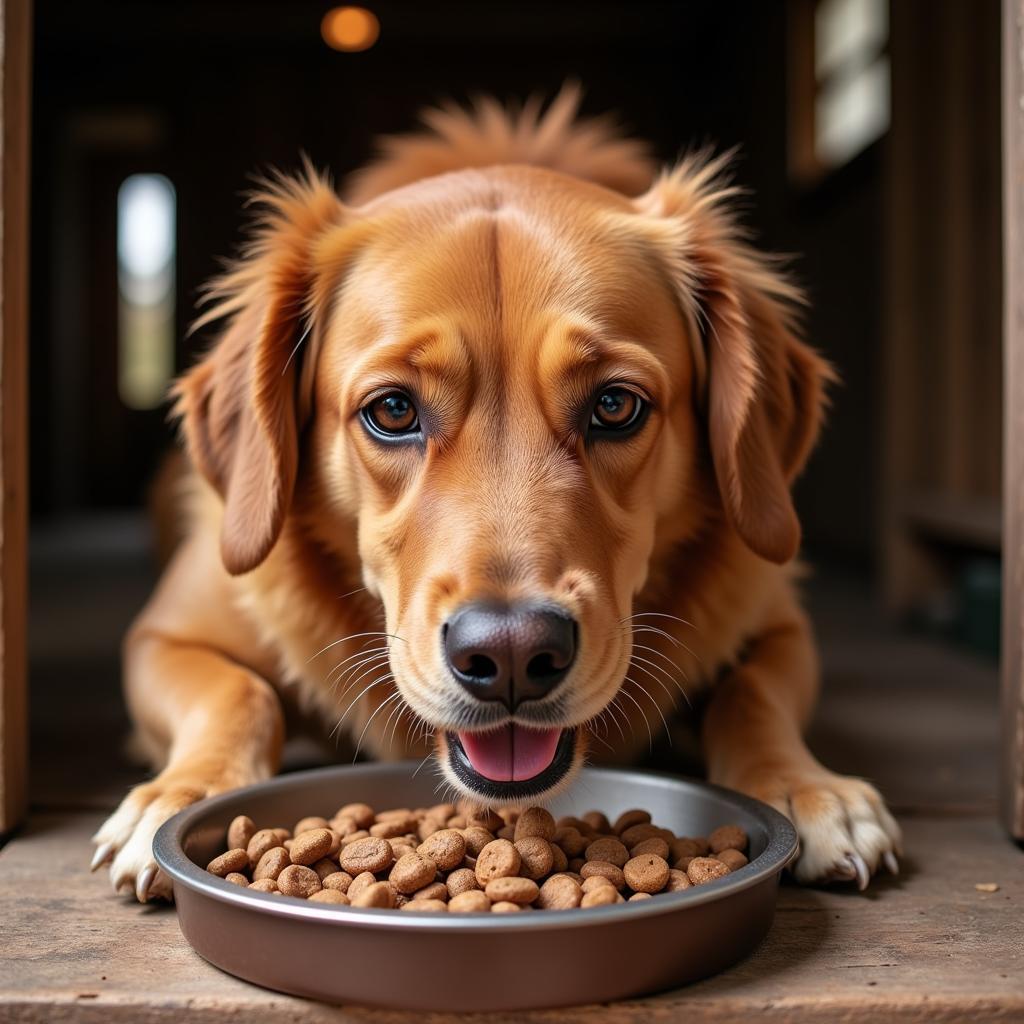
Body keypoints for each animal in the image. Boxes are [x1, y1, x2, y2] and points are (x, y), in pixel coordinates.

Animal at [94, 90, 897, 905]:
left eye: (615, 406)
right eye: (393, 411)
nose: (512, 654)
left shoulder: (776, 621)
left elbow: (752, 694)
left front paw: (806, 787)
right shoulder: (163, 635)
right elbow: (237, 693)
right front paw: (185, 791)